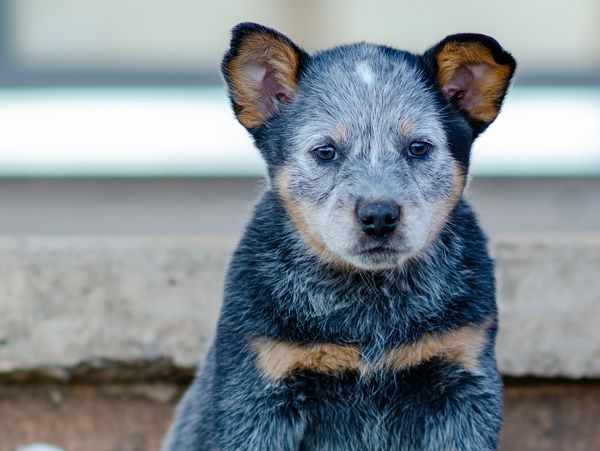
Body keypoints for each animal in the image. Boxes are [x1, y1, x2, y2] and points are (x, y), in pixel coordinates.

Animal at [162, 22, 516, 450]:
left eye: (418, 147)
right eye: (326, 151)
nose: (378, 215)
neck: (370, 306)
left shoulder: (463, 375)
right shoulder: (258, 388)